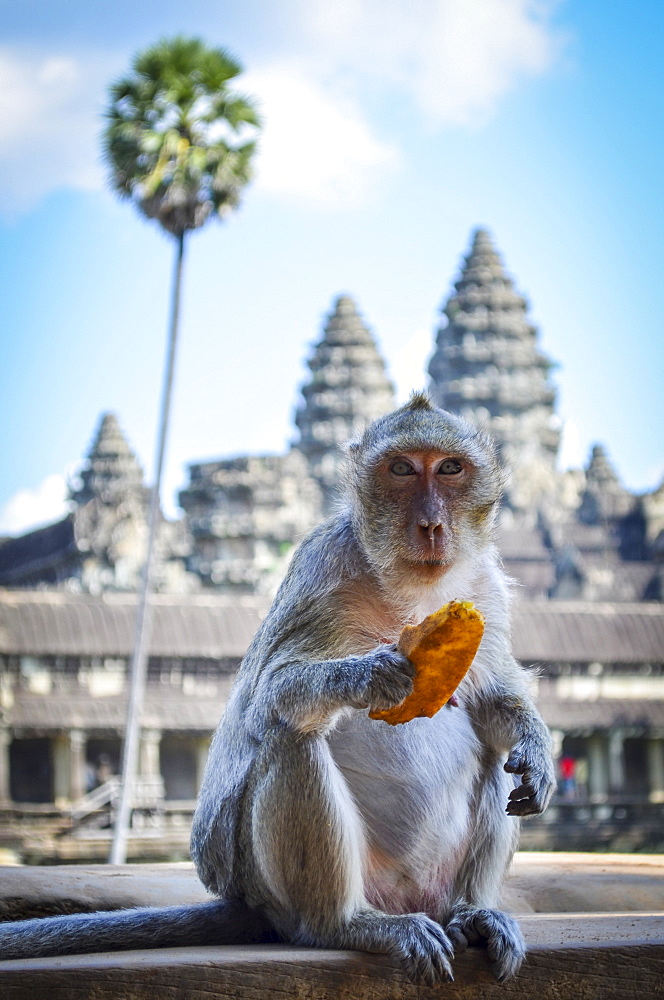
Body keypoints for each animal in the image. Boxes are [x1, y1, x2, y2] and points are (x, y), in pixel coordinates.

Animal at [0, 394, 556, 980]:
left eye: (450, 469)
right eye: (402, 470)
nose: (430, 524)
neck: (412, 589)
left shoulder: (484, 587)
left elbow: (492, 698)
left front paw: (536, 750)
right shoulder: (322, 570)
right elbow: (271, 696)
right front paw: (372, 675)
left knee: (492, 754)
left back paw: (472, 914)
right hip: (270, 883)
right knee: (293, 738)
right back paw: (347, 925)